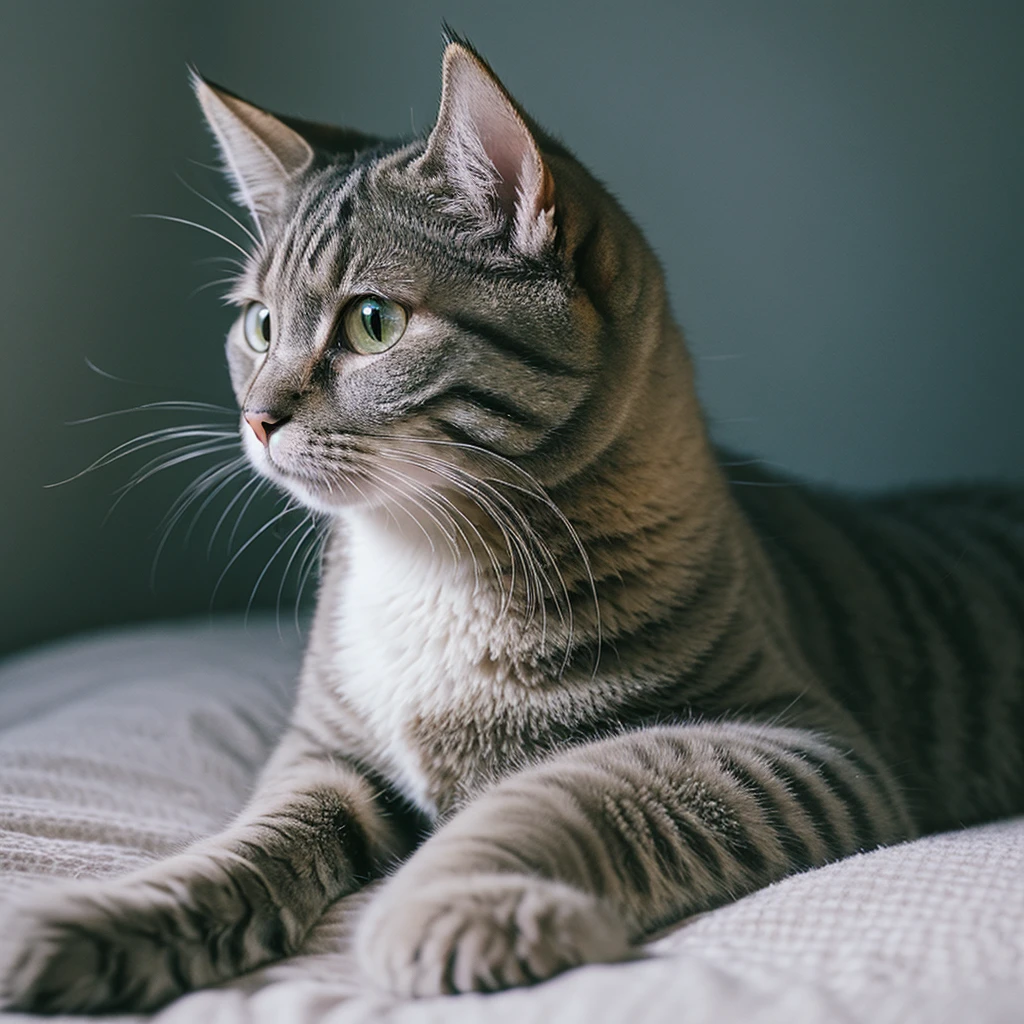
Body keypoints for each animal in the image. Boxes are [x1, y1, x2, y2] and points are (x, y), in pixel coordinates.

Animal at [2, 34, 1024, 1015]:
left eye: (372, 323)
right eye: (257, 325)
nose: (256, 418)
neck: (425, 563)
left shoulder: (793, 740)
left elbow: (555, 796)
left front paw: (456, 905)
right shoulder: (323, 755)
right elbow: (247, 845)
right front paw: (101, 921)